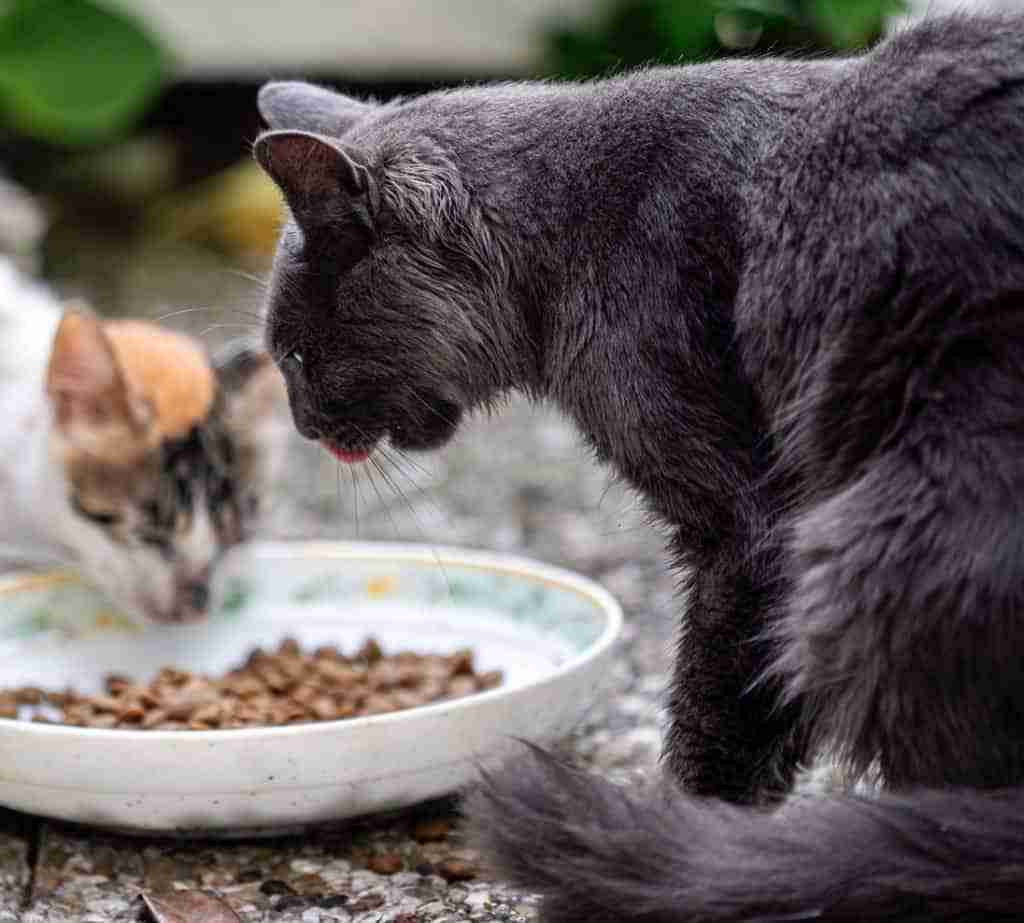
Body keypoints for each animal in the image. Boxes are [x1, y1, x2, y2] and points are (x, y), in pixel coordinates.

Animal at [251, 16, 1024, 921]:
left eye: (298, 355)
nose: (303, 424)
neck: (572, 227)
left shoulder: (752, 527)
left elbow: (719, 713)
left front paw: (683, 840)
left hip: (866, 550)